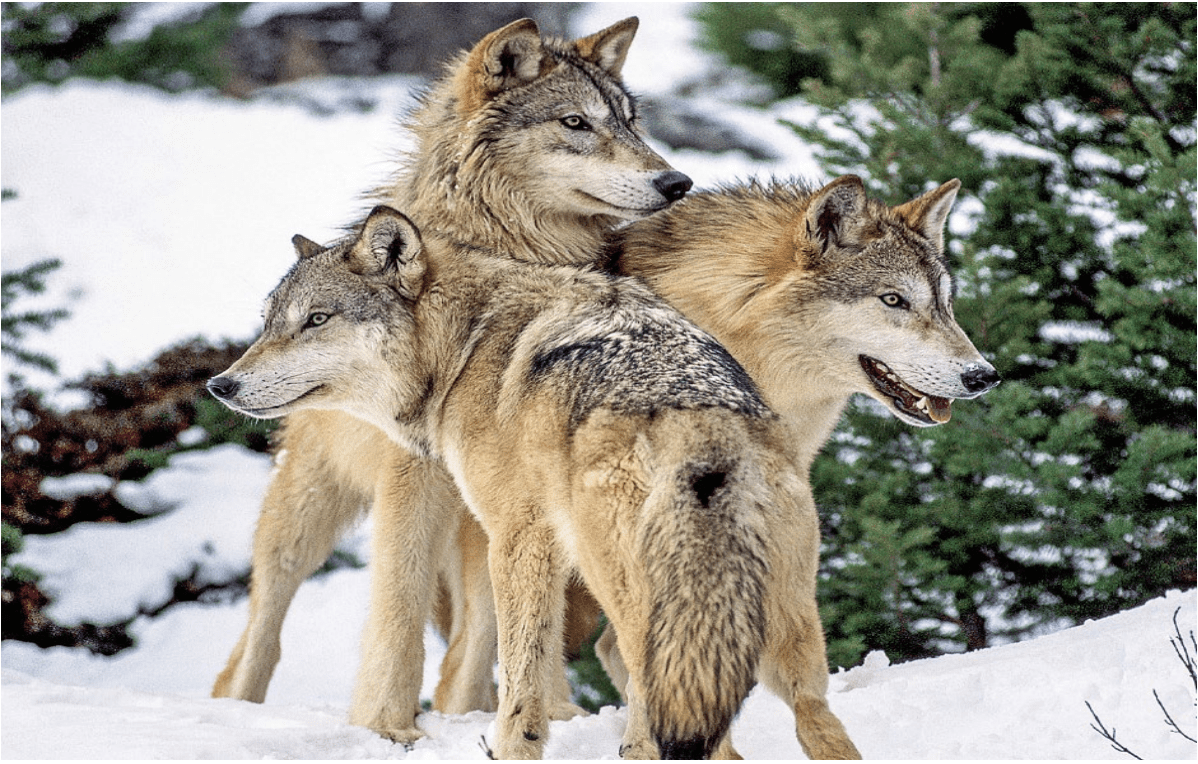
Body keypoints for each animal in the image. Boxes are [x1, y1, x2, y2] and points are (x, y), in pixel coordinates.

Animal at [208, 207, 861, 759]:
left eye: (316, 320)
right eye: (269, 324)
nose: (220, 385)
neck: (464, 347)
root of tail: (705, 428)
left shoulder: (515, 535)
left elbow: (520, 671)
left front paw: (510, 745)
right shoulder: (540, 546)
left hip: (637, 601)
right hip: (783, 630)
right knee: (813, 723)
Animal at [209, 14, 691, 741]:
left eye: (633, 123)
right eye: (576, 122)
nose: (676, 182)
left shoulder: (507, 502)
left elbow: (511, 622)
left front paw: (525, 713)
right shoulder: (415, 478)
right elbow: (399, 598)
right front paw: (384, 723)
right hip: (305, 508)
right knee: (261, 625)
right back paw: (237, 708)